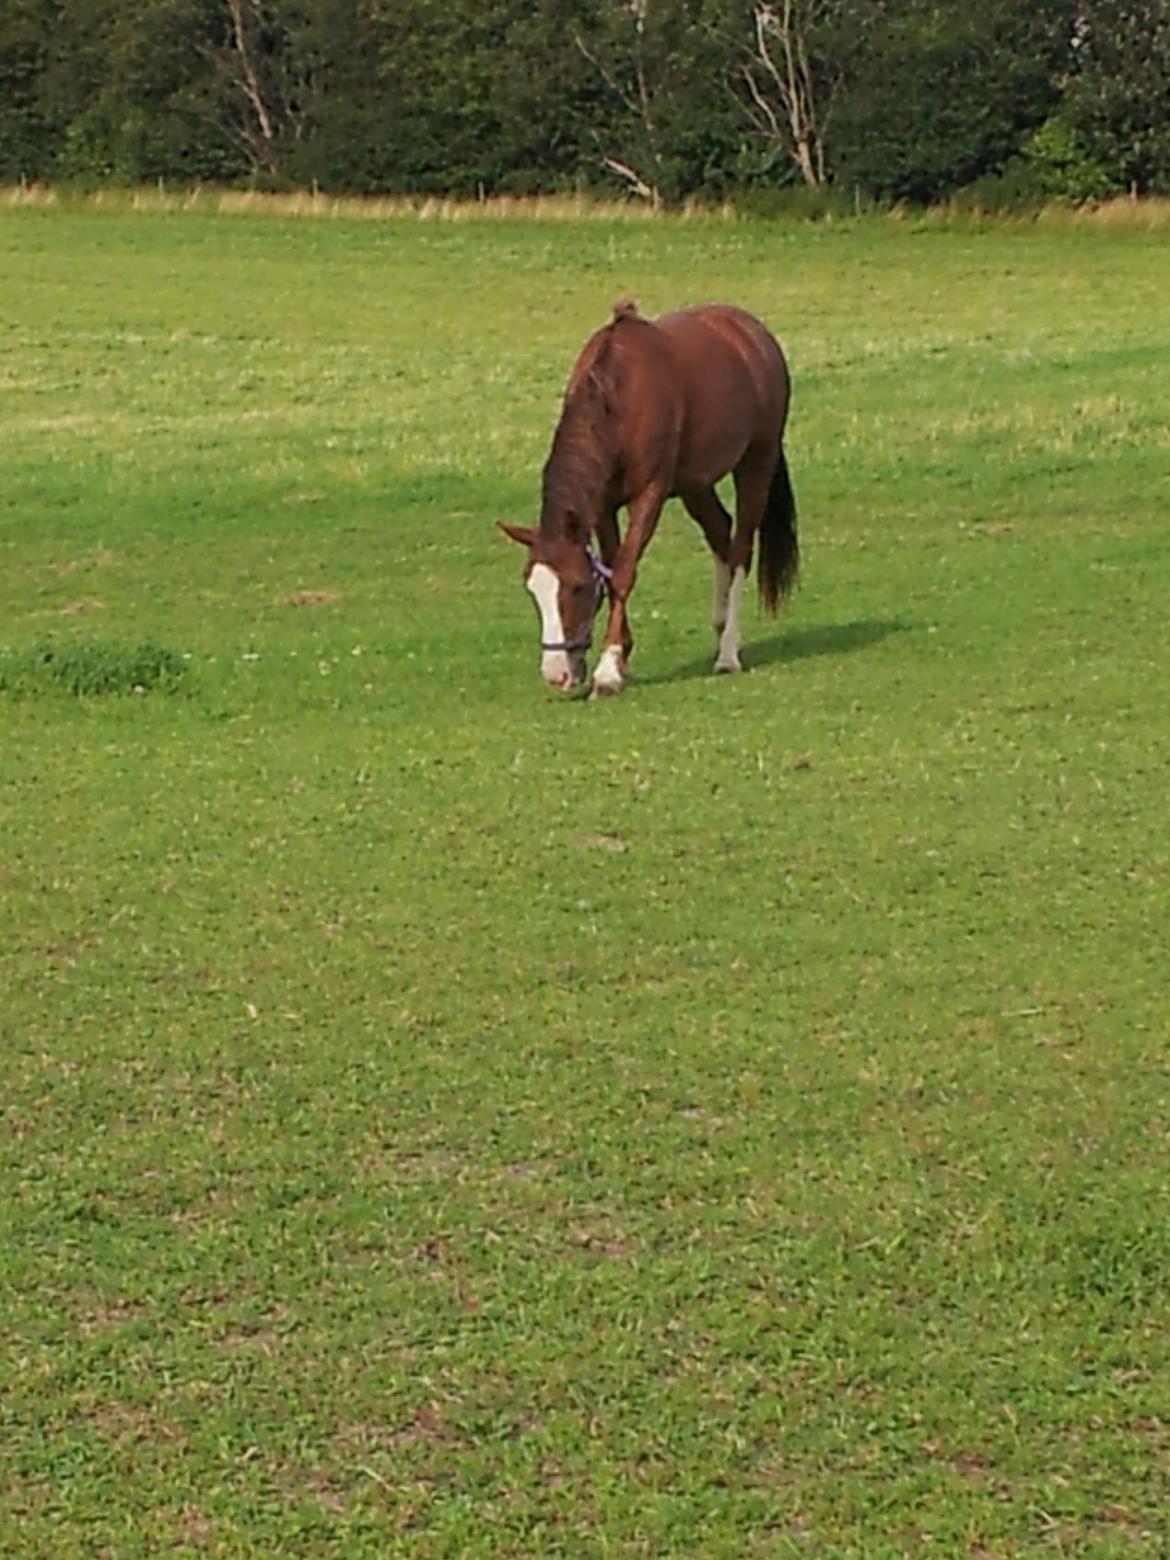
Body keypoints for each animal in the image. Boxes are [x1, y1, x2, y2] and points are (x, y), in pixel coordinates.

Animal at [499, 294, 804, 698]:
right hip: (695, 483)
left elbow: (623, 572)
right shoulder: (603, 504)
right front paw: (622, 655)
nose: (556, 674)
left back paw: (728, 651)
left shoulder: (650, 495)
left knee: (740, 549)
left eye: (577, 588)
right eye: (532, 588)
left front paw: (609, 669)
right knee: (720, 533)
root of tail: (752, 333)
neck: (617, 398)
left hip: (756, 463)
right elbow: (612, 563)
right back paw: (722, 626)